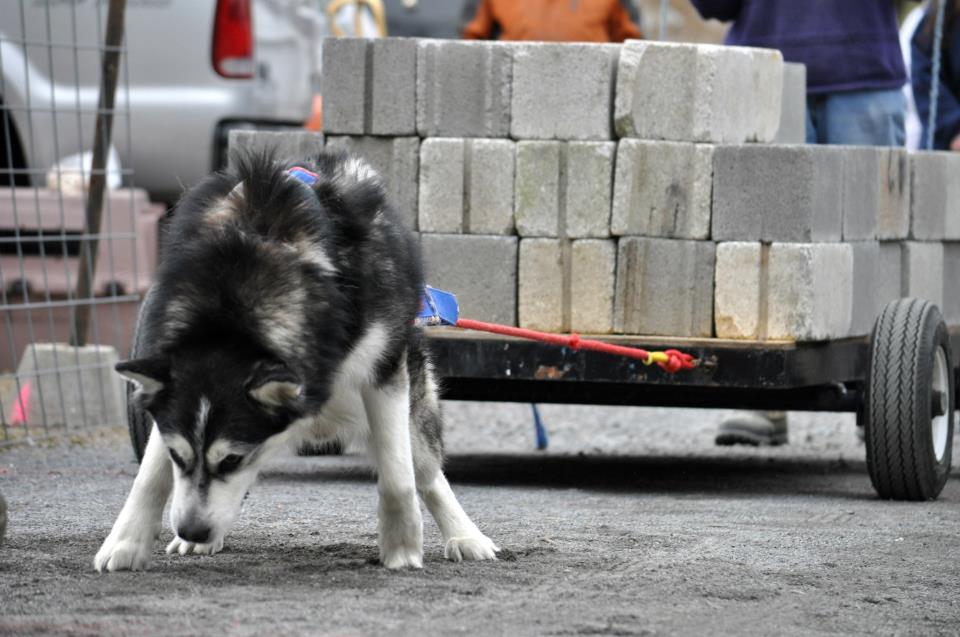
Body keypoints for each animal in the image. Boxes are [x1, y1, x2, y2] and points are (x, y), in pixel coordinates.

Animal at [94, 150, 498, 572]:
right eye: (177, 455)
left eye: (232, 459)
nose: (192, 530)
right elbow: (149, 476)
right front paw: (126, 542)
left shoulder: (383, 372)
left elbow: (398, 477)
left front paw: (401, 547)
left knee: (427, 472)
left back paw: (465, 535)